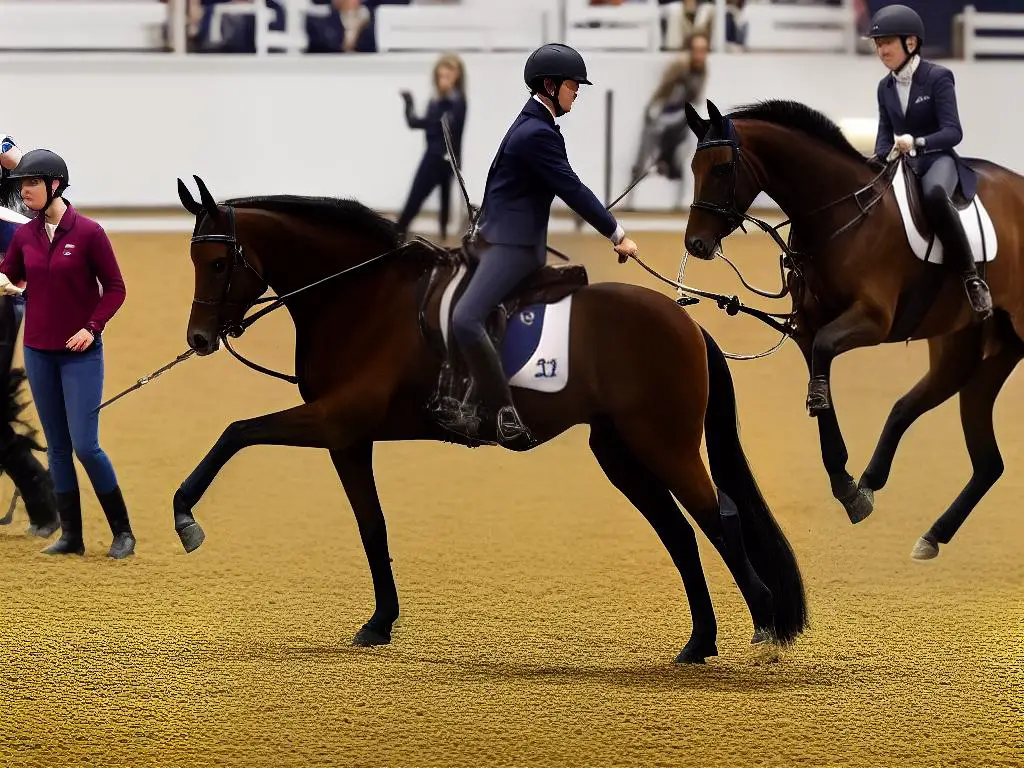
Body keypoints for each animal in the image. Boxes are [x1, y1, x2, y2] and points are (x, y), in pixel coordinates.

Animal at [169, 173, 806, 663]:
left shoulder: (333, 420)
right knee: (679, 531)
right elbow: (372, 525)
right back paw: (700, 642)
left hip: (663, 443)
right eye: (194, 259)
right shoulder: (348, 438)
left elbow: (236, 433)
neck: (361, 298)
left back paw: (764, 626)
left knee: (718, 516)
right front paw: (380, 622)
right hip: (621, 451)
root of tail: (686, 322)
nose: (198, 339)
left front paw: (185, 517)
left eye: (219, 261)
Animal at [679, 99, 1024, 561]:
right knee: (976, 452)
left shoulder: (872, 319)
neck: (839, 215)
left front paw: (848, 485)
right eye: (693, 166)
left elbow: (824, 365)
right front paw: (848, 488)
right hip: (968, 346)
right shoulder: (807, 329)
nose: (695, 244)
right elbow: (820, 385)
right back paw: (925, 527)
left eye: (720, 168)